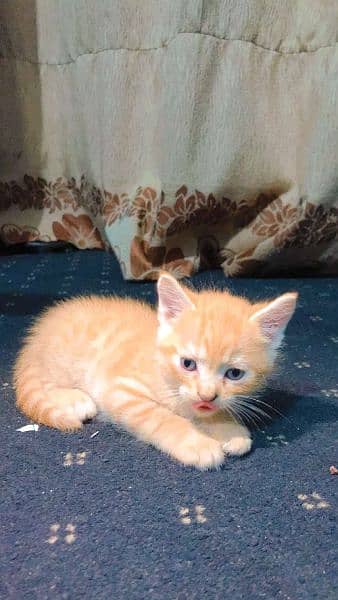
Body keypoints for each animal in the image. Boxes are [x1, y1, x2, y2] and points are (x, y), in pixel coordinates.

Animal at [14, 274, 298, 472]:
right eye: (188, 364)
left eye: (234, 373)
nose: (207, 395)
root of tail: (35, 337)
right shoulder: (121, 390)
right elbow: (162, 418)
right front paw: (197, 444)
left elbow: (211, 411)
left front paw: (228, 428)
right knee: (46, 383)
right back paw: (76, 399)